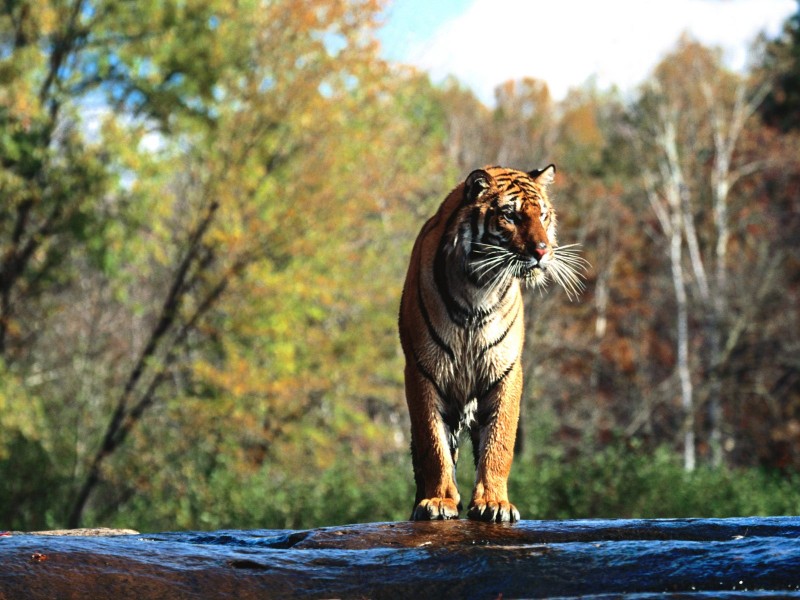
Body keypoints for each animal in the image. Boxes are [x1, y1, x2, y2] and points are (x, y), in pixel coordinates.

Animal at [396, 164, 584, 520]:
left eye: (543, 215)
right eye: (510, 216)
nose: (543, 251)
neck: (478, 287)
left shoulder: (505, 371)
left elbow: (499, 442)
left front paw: (494, 503)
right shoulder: (423, 371)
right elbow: (433, 445)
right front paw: (439, 501)